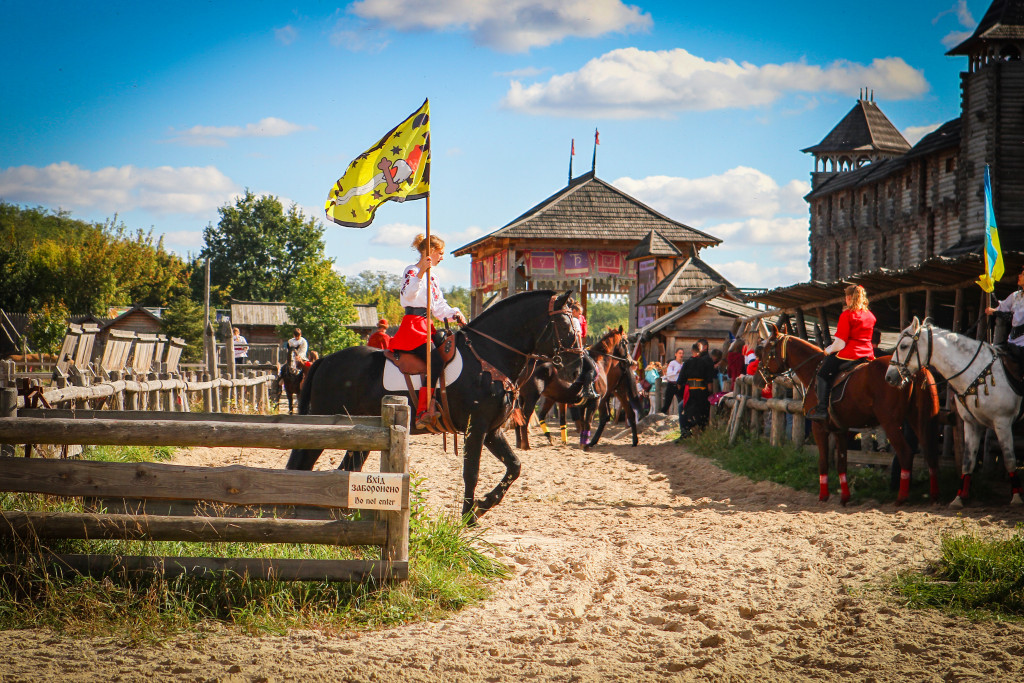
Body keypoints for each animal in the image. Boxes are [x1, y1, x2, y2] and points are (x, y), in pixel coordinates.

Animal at [288, 290, 593, 520]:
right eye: (566, 326)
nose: (578, 369)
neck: (488, 356)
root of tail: (325, 361)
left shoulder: (492, 431)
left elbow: (514, 467)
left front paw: (483, 505)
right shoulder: (476, 429)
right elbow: (472, 472)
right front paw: (468, 516)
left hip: (361, 435)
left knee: (345, 469)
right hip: (325, 425)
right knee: (301, 464)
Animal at [757, 323, 937, 505]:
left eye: (766, 351)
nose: (759, 376)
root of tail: (914, 370)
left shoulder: (819, 428)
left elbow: (823, 462)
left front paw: (823, 496)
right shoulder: (840, 430)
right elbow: (841, 462)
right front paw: (844, 497)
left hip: (890, 424)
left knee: (905, 454)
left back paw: (901, 497)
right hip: (918, 420)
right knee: (929, 453)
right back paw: (932, 496)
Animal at [880, 317, 1024, 507]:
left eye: (904, 346)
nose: (889, 377)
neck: (976, 372)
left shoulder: (1003, 422)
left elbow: (1009, 459)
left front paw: (1016, 498)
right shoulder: (971, 423)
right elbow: (968, 461)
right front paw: (959, 498)